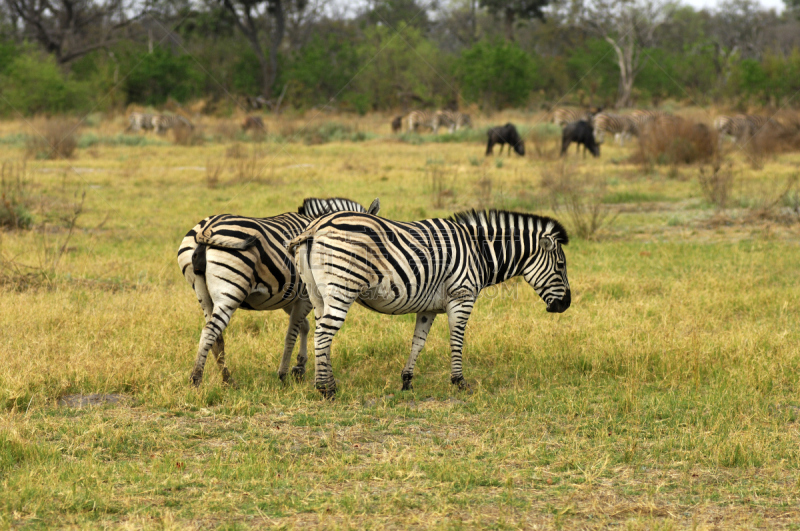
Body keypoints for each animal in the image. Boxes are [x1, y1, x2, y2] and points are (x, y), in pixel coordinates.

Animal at [177, 195, 382, 386]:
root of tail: (206, 228)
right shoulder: (305, 297)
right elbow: (292, 333)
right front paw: (284, 374)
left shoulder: (288, 299)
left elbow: (304, 326)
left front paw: (299, 366)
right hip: (230, 291)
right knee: (210, 332)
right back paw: (197, 379)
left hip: (202, 293)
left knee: (216, 338)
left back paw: (227, 380)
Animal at [290, 208, 572, 400]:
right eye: (561, 265)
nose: (566, 305)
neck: (480, 253)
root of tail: (316, 225)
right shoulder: (462, 296)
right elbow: (457, 340)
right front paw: (459, 382)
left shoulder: (427, 308)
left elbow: (418, 342)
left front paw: (407, 381)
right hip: (342, 287)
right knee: (323, 334)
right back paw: (325, 389)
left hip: (318, 294)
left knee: (322, 333)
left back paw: (329, 382)